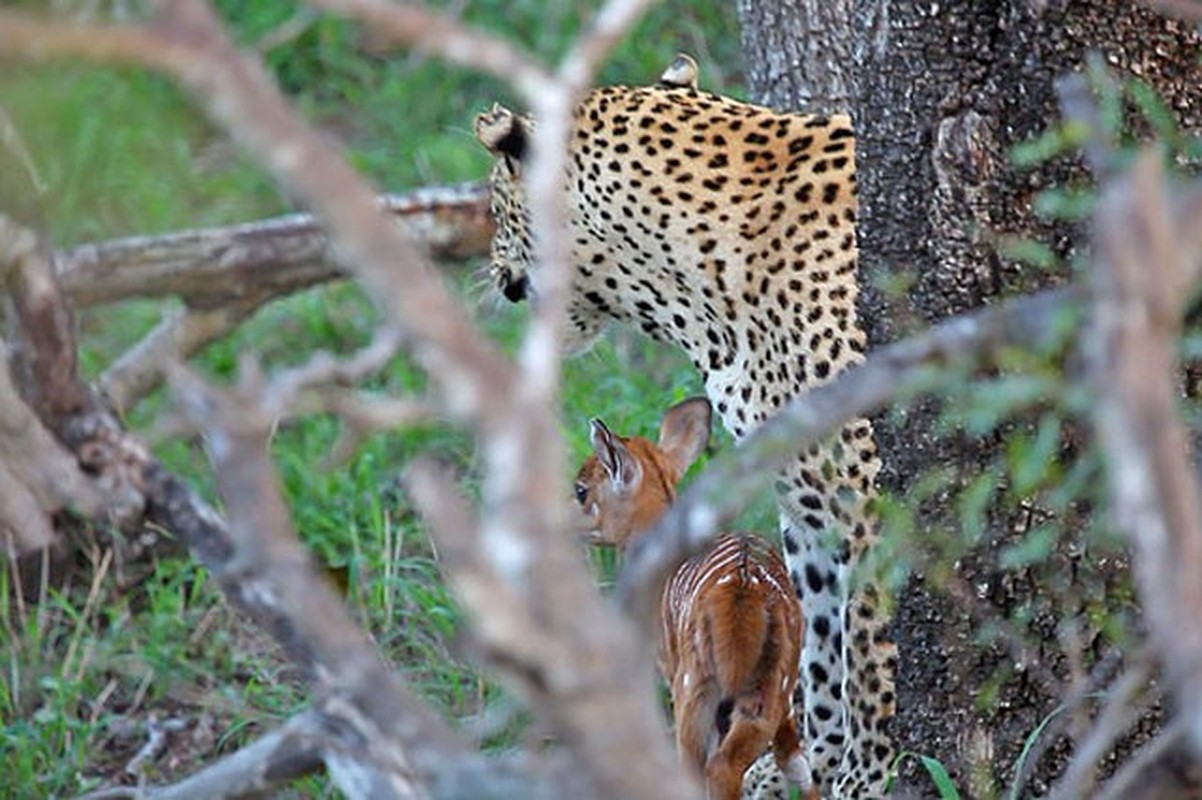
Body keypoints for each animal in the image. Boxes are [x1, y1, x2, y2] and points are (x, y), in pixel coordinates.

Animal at [473, 52, 899, 792]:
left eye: (496, 206)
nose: (494, 271)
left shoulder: (869, 499)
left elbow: (869, 651)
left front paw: (866, 779)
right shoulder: (807, 502)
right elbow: (819, 643)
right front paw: (808, 765)